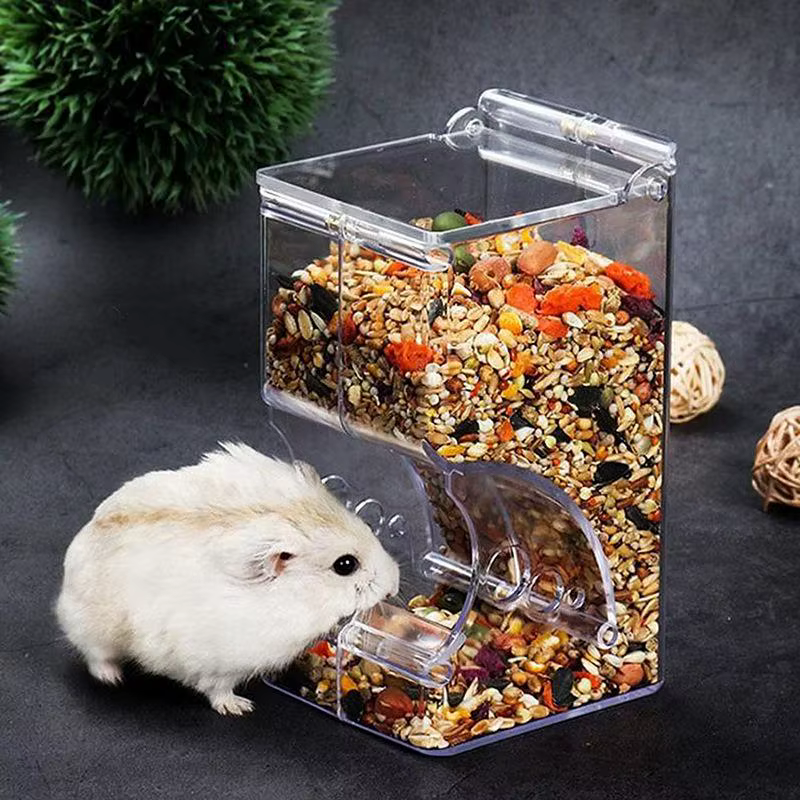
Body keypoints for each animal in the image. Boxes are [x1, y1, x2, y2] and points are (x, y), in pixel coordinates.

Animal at [56, 442, 400, 715]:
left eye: (368, 527)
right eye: (345, 565)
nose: (394, 584)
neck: (296, 598)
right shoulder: (219, 663)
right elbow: (217, 689)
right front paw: (241, 708)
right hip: (93, 627)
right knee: (93, 654)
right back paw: (112, 678)